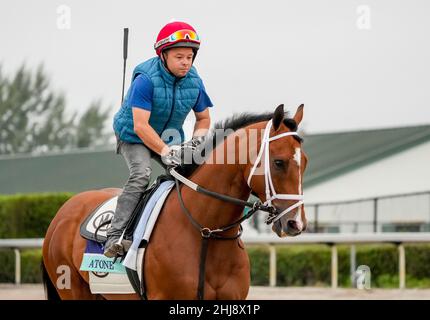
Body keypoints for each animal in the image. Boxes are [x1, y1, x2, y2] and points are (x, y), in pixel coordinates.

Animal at [42, 104, 308, 300]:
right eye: (279, 162)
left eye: (304, 162)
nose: (296, 223)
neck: (206, 232)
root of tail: (64, 211)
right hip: (72, 290)